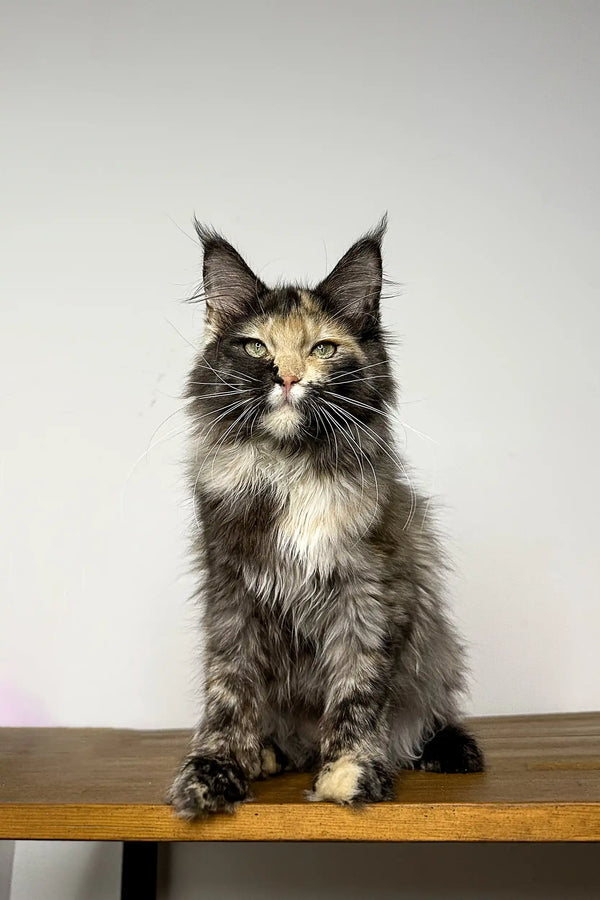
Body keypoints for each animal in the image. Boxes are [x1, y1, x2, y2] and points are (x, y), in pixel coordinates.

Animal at [168, 214, 482, 820]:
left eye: (323, 348)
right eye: (256, 346)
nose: (288, 377)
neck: (291, 470)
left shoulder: (371, 592)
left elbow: (359, 691)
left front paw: (349, 772)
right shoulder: (231, 595)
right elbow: (227, 693)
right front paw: (214, 770)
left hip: (434, 659)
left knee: (424, 722)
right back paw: (265, 753)